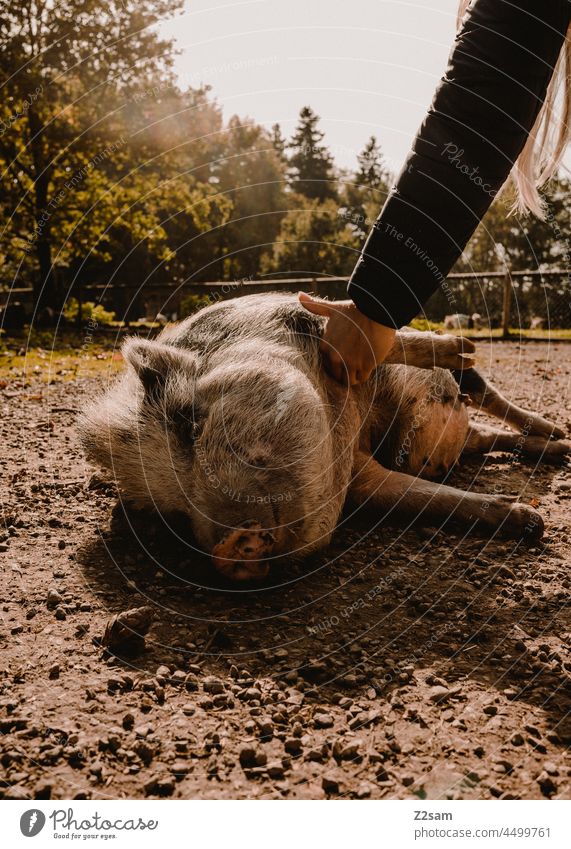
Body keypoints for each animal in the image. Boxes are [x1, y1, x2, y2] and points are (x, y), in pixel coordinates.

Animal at [78, 294, 568, 580]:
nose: (229, 548)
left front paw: (460, 346)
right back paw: (555, 451)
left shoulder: (313, 322)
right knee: (482, 436)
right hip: (454, 445)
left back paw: (554, 432)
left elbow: (394, 343)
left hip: (466, 389)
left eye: (189, 425)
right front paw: (531, 522)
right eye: (173, 515)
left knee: (487, 395)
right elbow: (427, 499)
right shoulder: (361, 479)